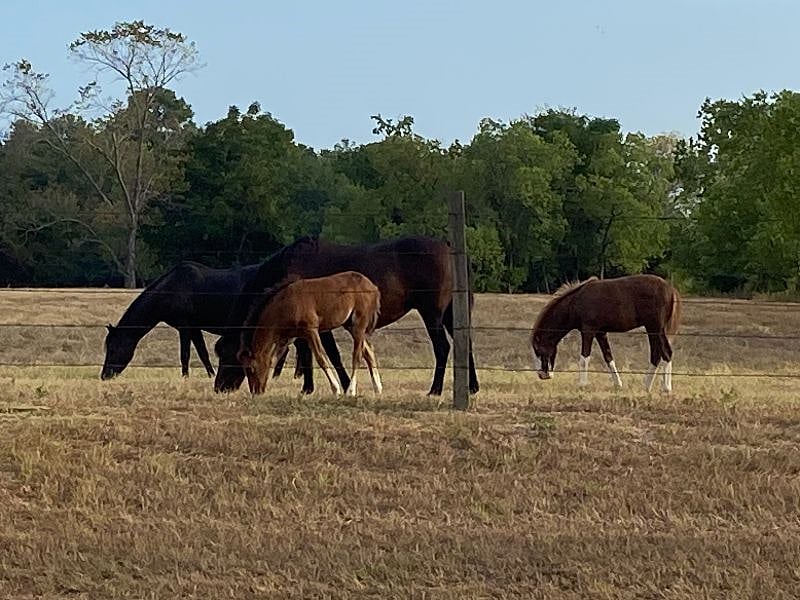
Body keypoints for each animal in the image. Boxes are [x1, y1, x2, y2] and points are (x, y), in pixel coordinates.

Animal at [238, 271, 382, 396]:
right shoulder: (287, 338)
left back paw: (351, 391)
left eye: (250, 368)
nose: (256, 392)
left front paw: (336, 389)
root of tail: (372, 286)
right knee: (369, 351)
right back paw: (378, 389)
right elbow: (274, 359)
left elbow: (320, 357)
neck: (286, 303)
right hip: (350, 326)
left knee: (357, 356)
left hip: (359, 325)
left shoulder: (311, 330)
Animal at [530, 274, 681, 392]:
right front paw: (618, 384)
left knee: (666, 353)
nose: (542, 375)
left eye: (538, 351)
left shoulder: (588, 330)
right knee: (656, 355)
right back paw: (646, 386)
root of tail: (671, 290)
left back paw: (666, 388)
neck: (576, 303)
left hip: (656, 328)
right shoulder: (601, 333)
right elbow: (608, 356)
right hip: (652, 329)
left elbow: (584, 358)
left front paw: (582, 384)